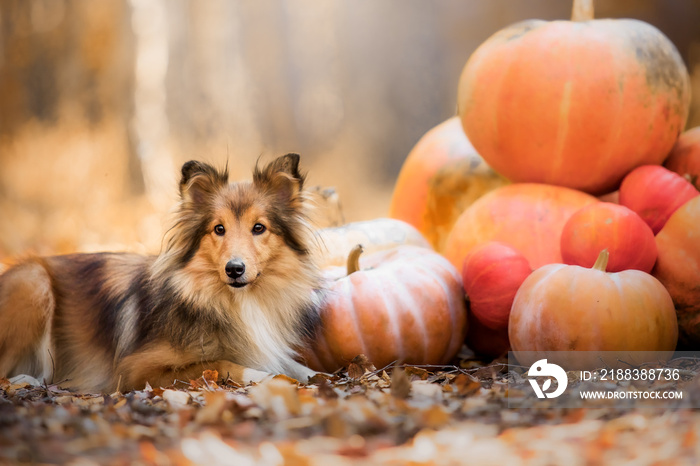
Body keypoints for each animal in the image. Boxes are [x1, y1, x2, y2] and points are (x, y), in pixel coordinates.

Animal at [0, 155, 324, 392]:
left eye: (259, 228)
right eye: (218, 229)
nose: (234, 269)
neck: (232, 301)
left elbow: (301, 368)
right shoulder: (136, 369)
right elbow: (221, 363)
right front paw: (270, 377)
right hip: (33, 282)